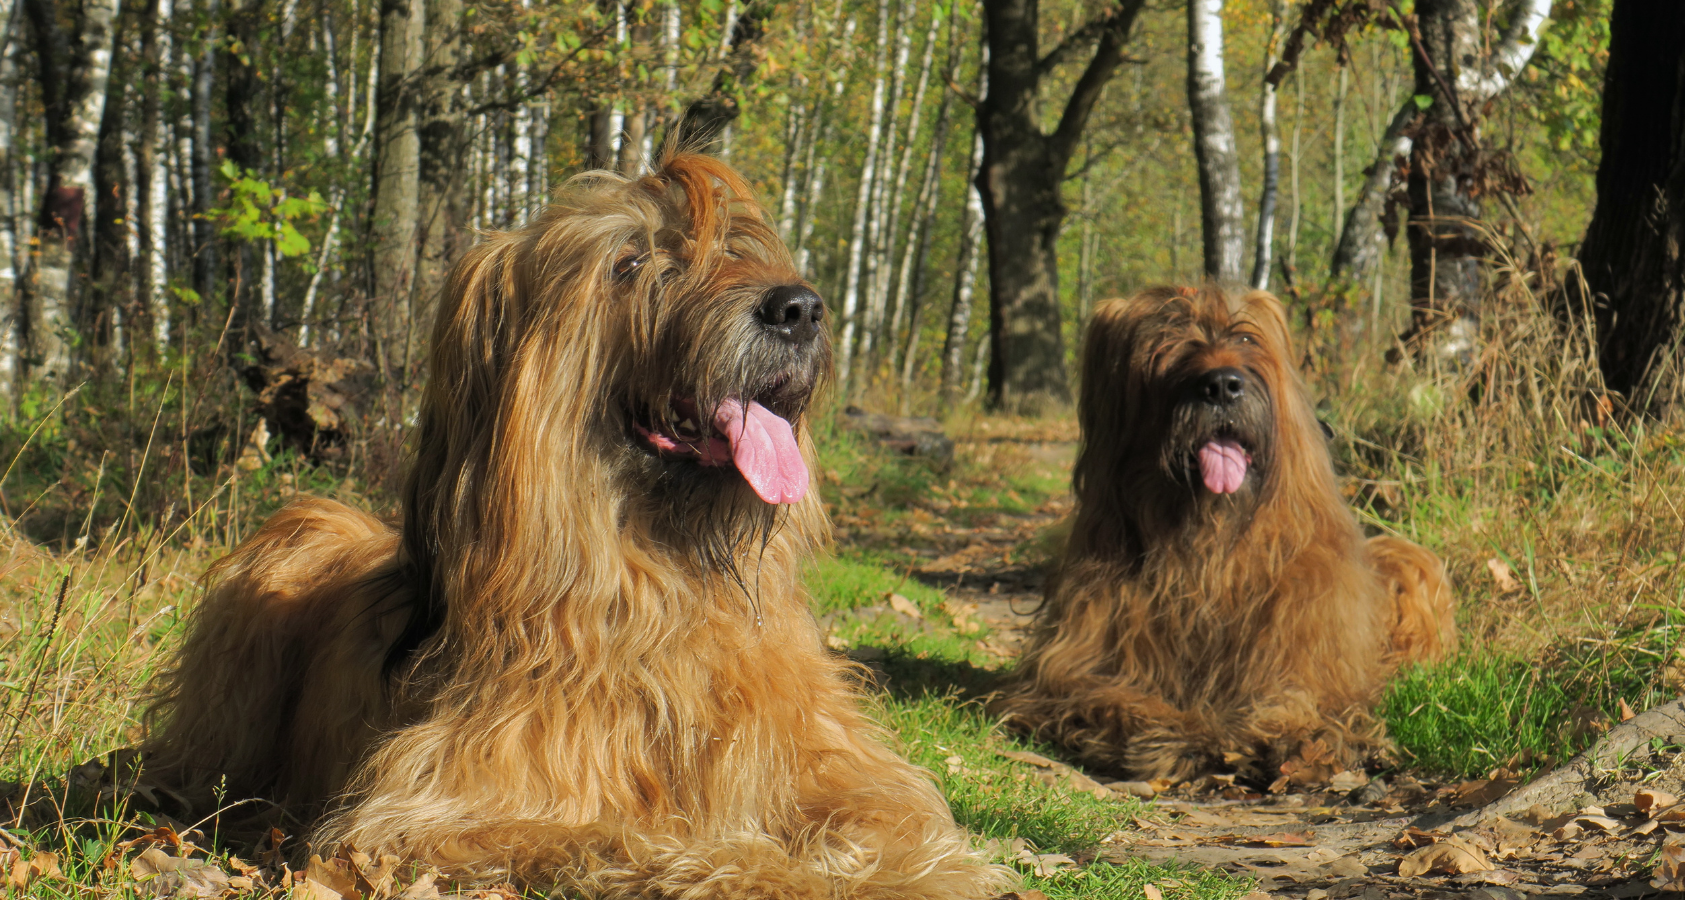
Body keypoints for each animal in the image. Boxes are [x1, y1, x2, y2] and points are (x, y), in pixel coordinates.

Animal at [141, 151, 997, 896]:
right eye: (629, 265)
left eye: (738, 249)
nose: (799, 310)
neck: (665, 578)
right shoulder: (435, 810)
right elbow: (632, 836)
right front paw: (773, 871)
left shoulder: (836, 761)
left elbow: (895, 813)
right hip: (289, 545)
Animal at [990, 288, 1455, 782]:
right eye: (1165, 343)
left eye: (1245, 337)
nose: (1221, 386)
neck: (1210, 549)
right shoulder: (1065, 668)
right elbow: (1106, 695)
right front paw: (1176, 733)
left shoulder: (1310, 653)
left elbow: (1300, 694)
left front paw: (1302, 734)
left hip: (1405, 559)